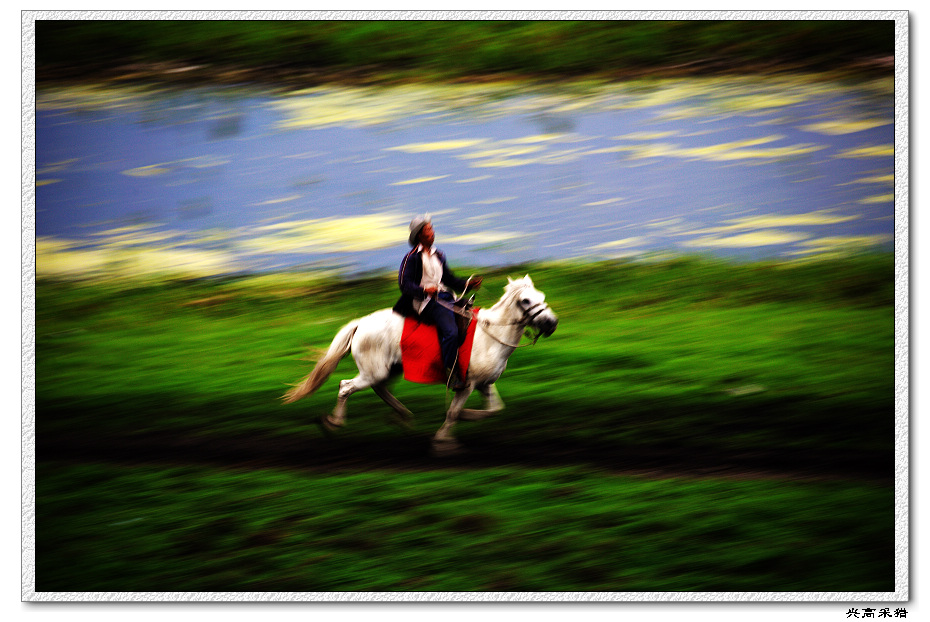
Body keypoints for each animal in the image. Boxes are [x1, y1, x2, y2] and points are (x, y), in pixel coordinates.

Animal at [282, 276, 556, 450]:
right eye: (525, 301)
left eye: (541, 296)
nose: (551, 323)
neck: (491, 336)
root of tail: (360, 323)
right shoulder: (466, 384)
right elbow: (454, 412)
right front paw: (444, 440)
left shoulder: (484, 384)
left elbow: (494, 409)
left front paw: (462, 421)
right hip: (372, 372)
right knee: (345, 387)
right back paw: (334, 423)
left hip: (387, 370)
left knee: (379, 389)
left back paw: (402, 416)